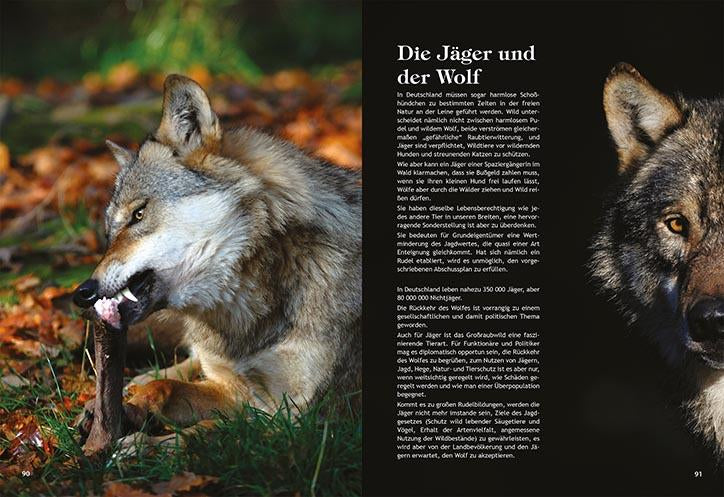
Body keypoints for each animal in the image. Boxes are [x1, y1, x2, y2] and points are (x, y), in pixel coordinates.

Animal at [72, 74, 361, 446]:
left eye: (138, 214)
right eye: (109, 232)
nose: (83, 292)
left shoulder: (298, 419)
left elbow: (205, 433)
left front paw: (142, 446)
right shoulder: (235, 388)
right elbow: (163, 388)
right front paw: (132, 410)